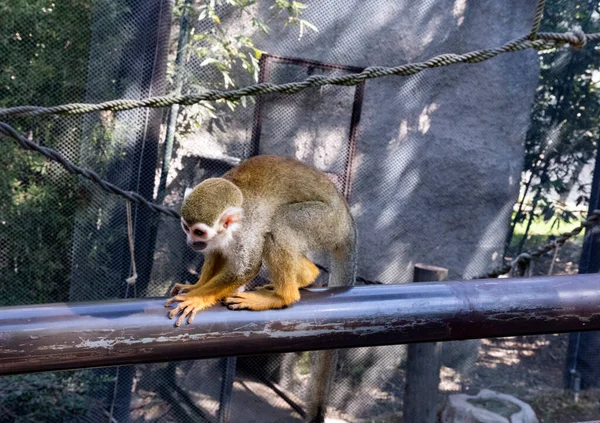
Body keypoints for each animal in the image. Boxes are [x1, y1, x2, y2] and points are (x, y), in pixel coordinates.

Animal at [166, 156, 356, 423]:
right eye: (186, 227)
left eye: (199, 231)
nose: (191, 242)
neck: (231, 229)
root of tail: (348, 222)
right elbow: (216, 254)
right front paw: (195, 286)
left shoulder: (247, 230)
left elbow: (247, 266)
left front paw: (196, 298)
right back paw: (307, 275)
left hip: (325, 222)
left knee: (280, 222)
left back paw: (283, 296)